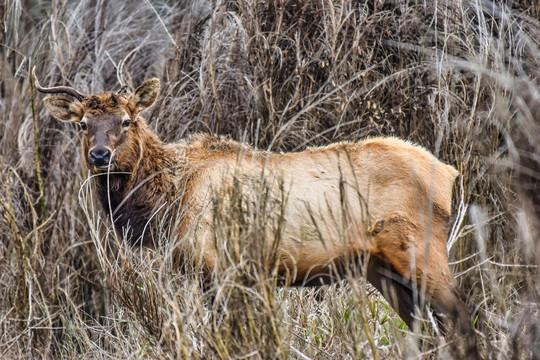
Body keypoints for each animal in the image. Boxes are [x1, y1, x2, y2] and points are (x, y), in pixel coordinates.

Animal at [33, 68, 474, 346]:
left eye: (126, 121)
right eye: (83, 124)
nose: (100, 155)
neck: (167, 202)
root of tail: (450, 174)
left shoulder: (217, 265)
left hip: (422, 252)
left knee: (463, 318)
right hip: (382, 269)